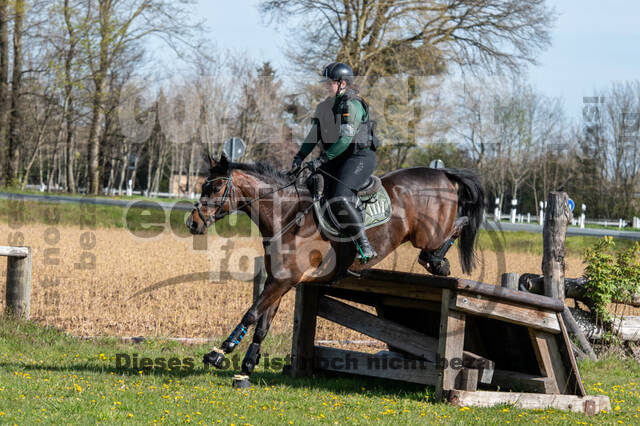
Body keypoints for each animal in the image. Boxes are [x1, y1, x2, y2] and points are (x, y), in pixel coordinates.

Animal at [185, 156, 484, 386]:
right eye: (203, 186)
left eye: (216, 187)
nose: (192, 223)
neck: (287, 216)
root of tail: (441, 172)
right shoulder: (278, 281)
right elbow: (262, 324)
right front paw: (246, 368)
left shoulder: (283, 280)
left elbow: (251, 313)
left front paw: (219, 353)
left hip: (428, 235)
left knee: (458, 223)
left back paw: (438, 262)